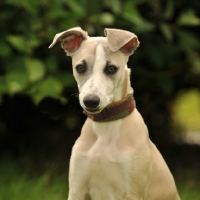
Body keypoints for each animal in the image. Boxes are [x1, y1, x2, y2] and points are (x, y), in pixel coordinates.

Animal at [49, 27, 180, 200]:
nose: (91, 101)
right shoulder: (76, 189)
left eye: (111, 69)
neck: (106, 124)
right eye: (80, 68)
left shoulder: (132, 192)